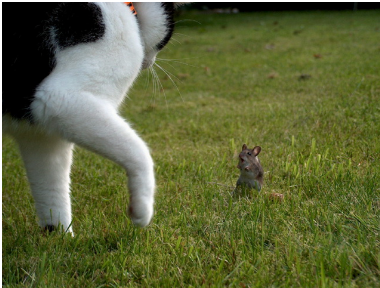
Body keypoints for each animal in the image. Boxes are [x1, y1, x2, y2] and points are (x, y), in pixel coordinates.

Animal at [1, 2, 183, 235]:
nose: (149, 63)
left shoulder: (41, 136)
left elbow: (52, 192)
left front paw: (60, 237)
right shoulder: (60, 101)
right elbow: (140, 153)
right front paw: (142, 210)